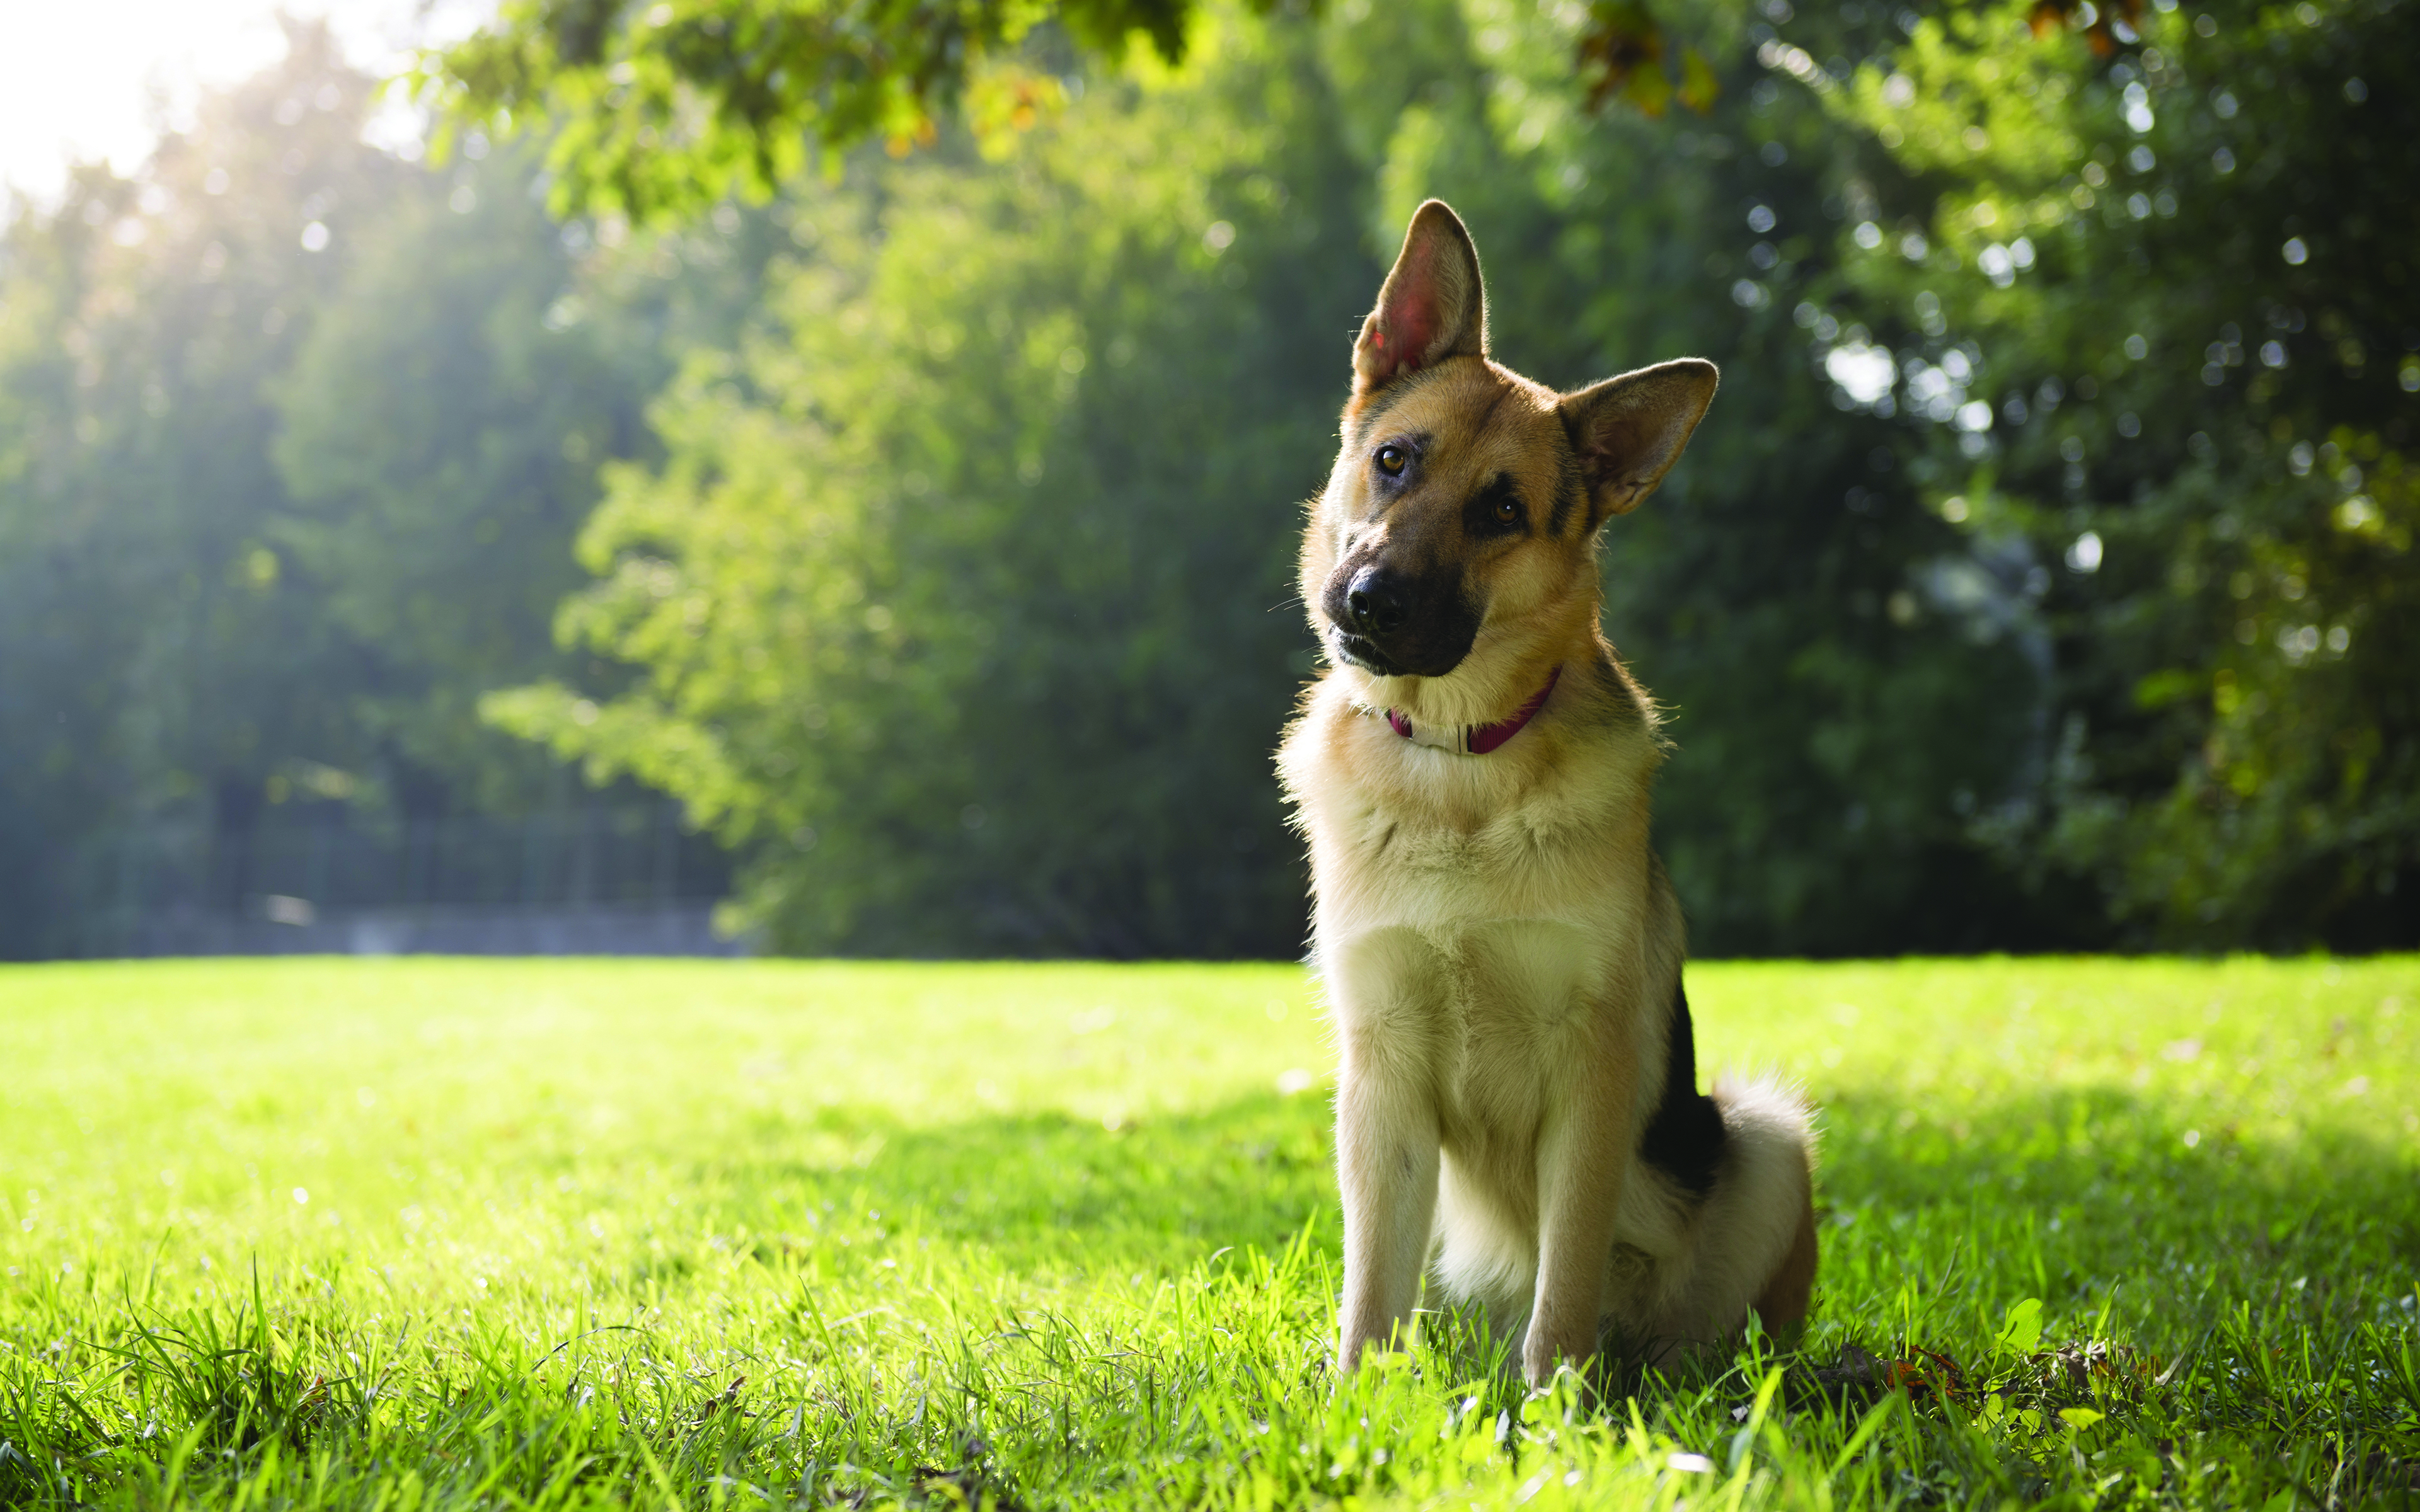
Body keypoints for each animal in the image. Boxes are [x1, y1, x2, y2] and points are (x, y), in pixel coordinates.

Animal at [1287, 203, 1819, 1393]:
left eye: (1503, 510)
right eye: (1394, 461)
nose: (1370, 603)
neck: (1457, 764)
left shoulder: (1594, 1072)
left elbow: (1564, 1278)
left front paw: (1558, 1412)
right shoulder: (1381, 1076)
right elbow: (1371, 1290)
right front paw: (1355, 1404)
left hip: (1765, 1139)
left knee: (1701, 1332)